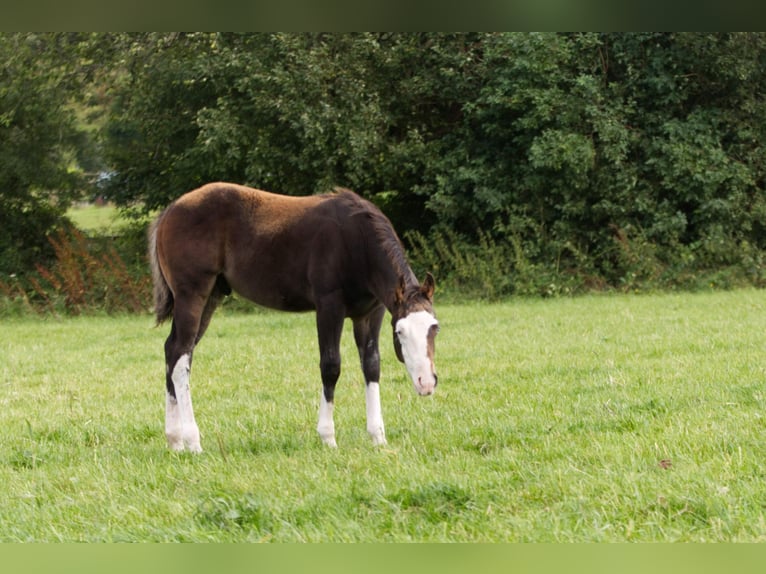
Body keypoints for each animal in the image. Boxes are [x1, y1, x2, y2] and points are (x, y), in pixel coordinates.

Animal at [150, 184, 440, 454]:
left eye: (434, 328)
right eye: (400, 332)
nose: (426, 382)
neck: (356, 240)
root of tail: (169, 212)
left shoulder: (370, 313)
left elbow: (371, 366)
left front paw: (378, 436)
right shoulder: (329, 307)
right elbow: (331, 365)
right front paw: (327, 437)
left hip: (211, 297)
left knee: (173, 351)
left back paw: (175, 441)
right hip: (192, 296)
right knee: (181, 360)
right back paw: (193, 441)